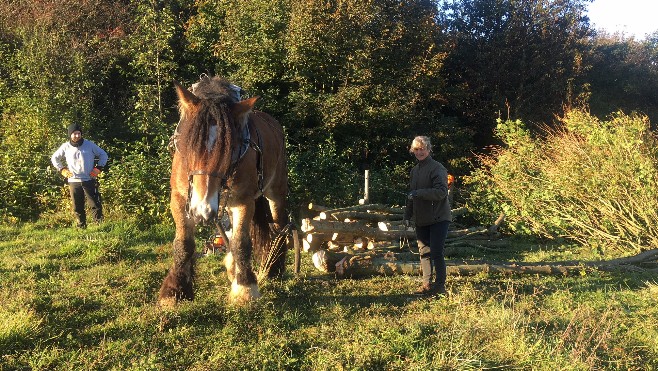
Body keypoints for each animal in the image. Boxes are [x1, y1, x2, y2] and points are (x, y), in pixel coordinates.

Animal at [158, 75, 288, 306]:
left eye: (230, 149)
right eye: (189, 144)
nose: (202, 210)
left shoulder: (244, 200)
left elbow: (241, 243)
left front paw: (245, 288)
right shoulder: (180, 198)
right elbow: (183, 244)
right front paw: (175, 290)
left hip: (275, 189)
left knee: (279, 224)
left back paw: (274, 267)